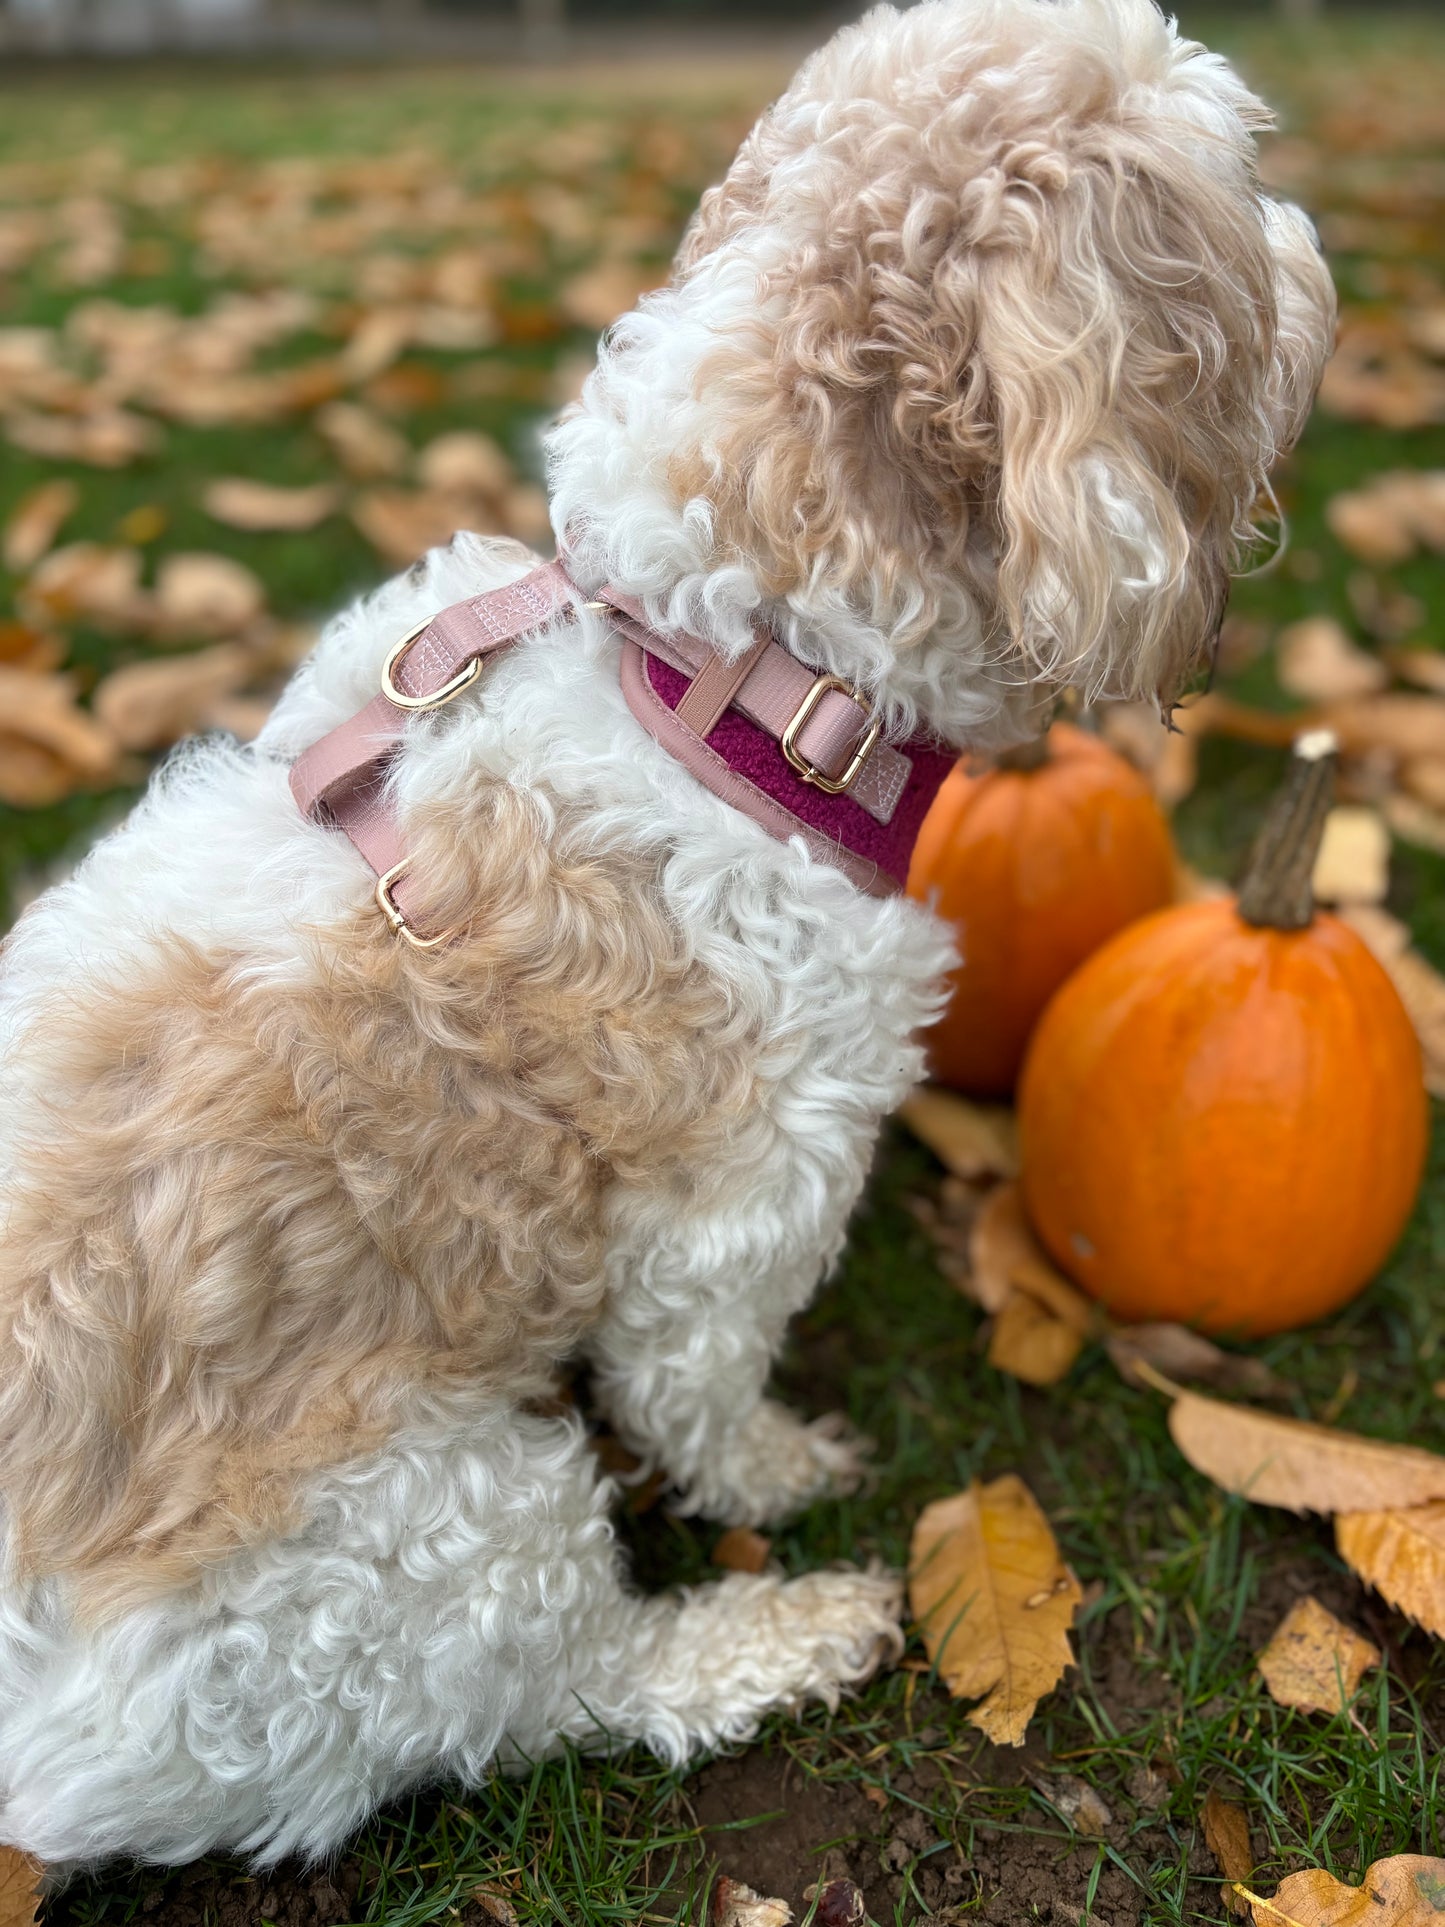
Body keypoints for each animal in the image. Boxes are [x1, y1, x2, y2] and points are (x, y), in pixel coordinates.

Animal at [0, 0, 1333, 1873]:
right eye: (1235, 172)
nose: (1312, 251)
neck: (720, 666)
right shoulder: (749, 1192)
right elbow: (702, 1388)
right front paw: (776, 1466)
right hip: (426, 1539)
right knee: (557, 1686)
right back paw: (777, 1631)